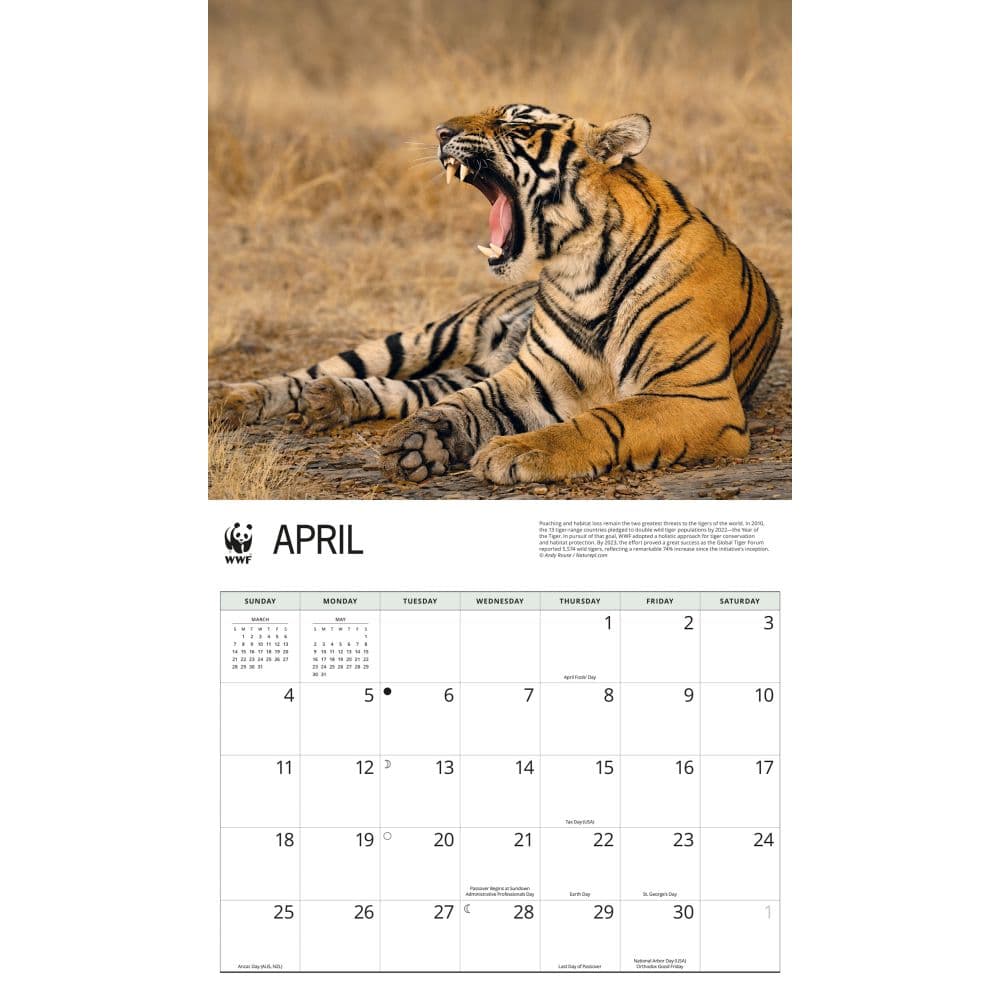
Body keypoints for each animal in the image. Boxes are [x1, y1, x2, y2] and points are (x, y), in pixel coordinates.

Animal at [209, 103, 782, 485]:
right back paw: (239, 398)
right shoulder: (532, 376)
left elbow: (607, 419)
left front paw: (511, 452)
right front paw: (426, 439)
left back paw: (328, 401)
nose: (441, 132)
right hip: (432, 334)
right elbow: (467, 404)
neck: (581, 272)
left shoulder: (695, 396)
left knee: (408, 388)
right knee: (321, 371)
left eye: (517, 126)